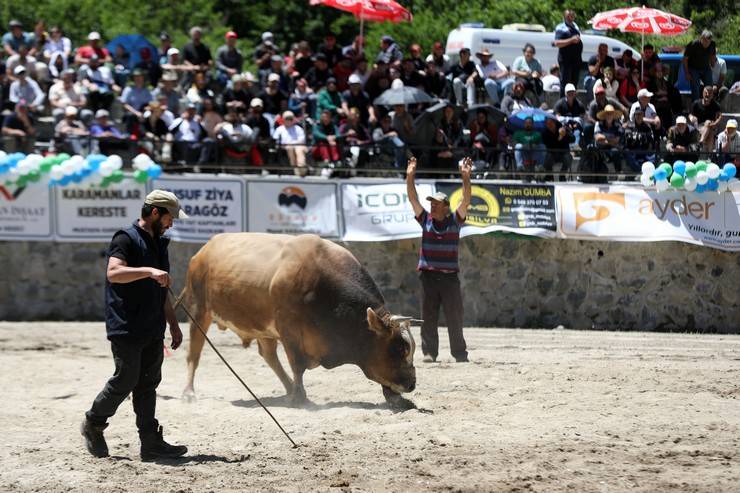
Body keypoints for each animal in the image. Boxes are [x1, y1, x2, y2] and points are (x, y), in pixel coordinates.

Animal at [176, 233, 414, 410]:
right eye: (398, 349)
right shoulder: (289, 331)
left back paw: (288, 387)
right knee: (194, 353)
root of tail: (203, 251)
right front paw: (299, 398)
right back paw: (188, 392)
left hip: (261, 327)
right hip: (198, 311)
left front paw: (396, 398)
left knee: (269, 355)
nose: (411, 384)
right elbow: (297, 364)